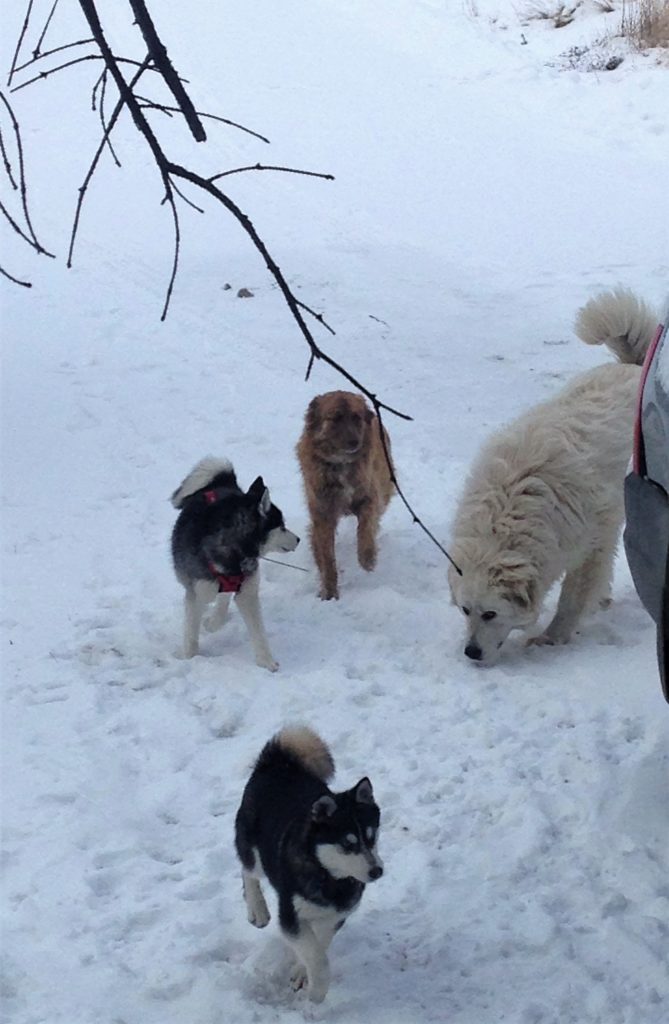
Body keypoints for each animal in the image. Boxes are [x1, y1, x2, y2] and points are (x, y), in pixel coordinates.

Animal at [295, 391, 393, 598]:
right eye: (335, 418)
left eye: (356, 417)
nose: (354, 442)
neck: (340, 464)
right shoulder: (323, 513)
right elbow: (327, 558)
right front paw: (330, 593)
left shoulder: (368, 498)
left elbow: (365, 528)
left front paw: (367, 557)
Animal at [446, 286, 655, 663]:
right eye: (465, 610)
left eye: (490, 614)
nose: (471, 652)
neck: (512, 507)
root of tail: (631, 366)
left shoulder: (590, 542)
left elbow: (572, 596)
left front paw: (552, 637)